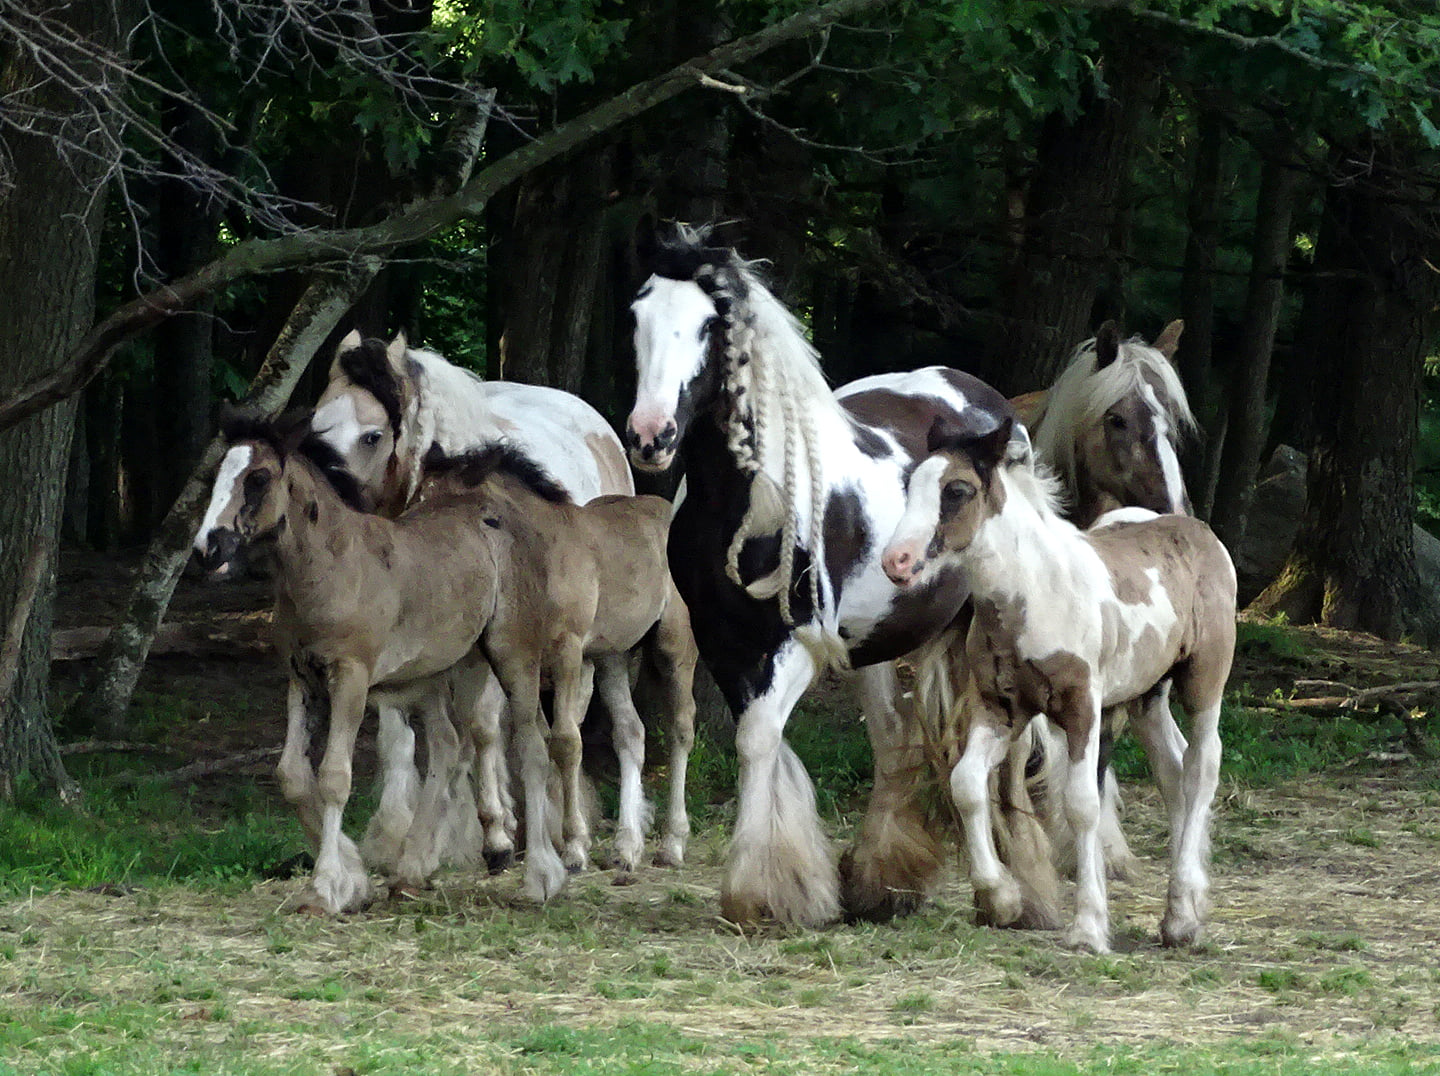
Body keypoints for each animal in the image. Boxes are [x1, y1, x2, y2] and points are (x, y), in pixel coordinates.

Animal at [624, 224, 1019, 927]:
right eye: (637, 314)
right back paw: (883, 884)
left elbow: (757, 742)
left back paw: (1004, 887)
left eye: (710, 325)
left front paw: (759, 893)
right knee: (895, 744)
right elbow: (763, 740)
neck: (751, 502)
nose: (651, 435)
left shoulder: (799, 642)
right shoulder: (726, 644)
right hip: (877, 646)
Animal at [881, 420, 1232, 950]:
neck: (1032, 595)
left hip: (1204, 679)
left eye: (957, 490)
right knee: (1174, 772)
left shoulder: (1081, 706)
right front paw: (1002, 900)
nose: (896, 561)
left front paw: (1088, 926)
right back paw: (1179, 915)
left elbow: (1082, 805)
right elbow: (966, 783)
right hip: (1146, 695)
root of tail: (1196, 529)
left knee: (1202, 766)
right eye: (910, 487)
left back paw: (1184, 913)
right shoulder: (999, 708)